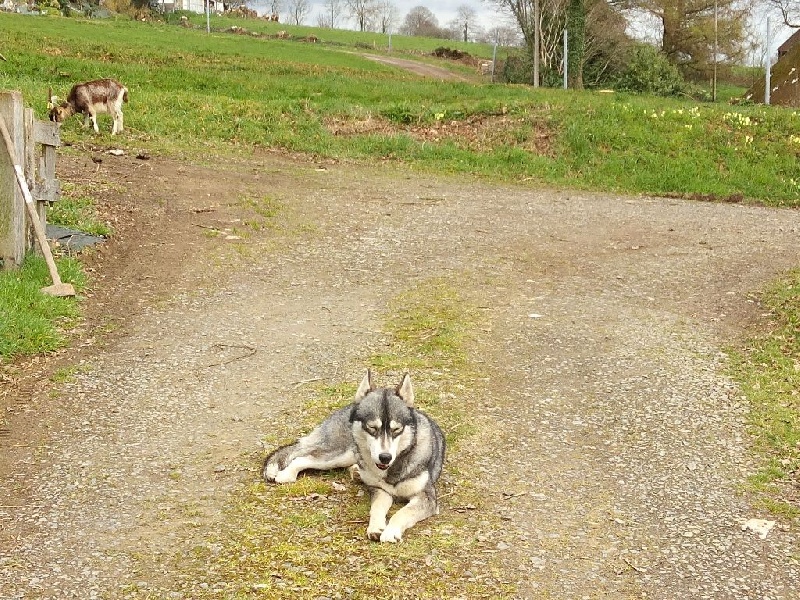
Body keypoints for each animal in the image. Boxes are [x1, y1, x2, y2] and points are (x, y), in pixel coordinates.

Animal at [266, 370, 446, 544]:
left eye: (396, 429)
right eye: (372, 428)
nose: (385, 457)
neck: (394, 466)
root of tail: (348, 407)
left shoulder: (426, 497)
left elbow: (402, 513)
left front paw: (390, 531)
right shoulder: (380, 491)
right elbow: (377, 508)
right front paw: (376, 527)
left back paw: (356, 473)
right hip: (340, 454)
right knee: (303, 457)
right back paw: (286, 474)